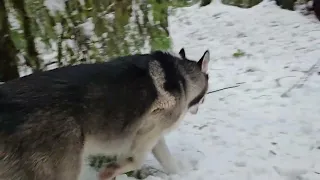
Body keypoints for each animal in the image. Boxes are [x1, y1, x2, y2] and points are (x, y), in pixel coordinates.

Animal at [0, 48, 210, 180]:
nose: (200, 107)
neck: (183, 77)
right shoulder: (148, 133)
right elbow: (135, 160)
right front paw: (108, 172)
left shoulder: (152, 136)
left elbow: (168, 161)